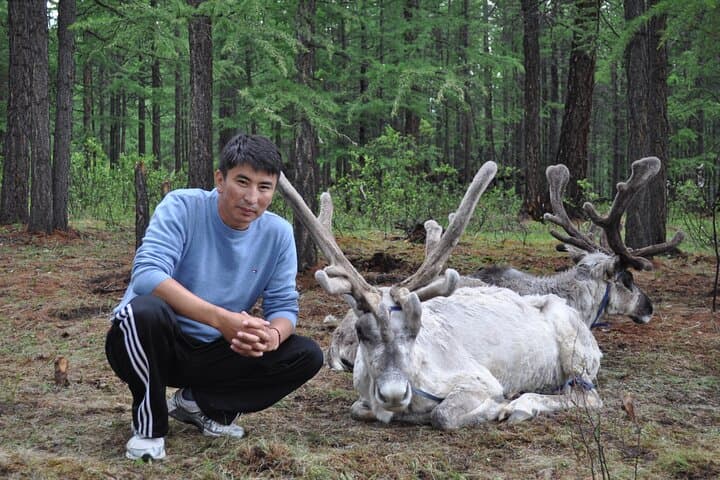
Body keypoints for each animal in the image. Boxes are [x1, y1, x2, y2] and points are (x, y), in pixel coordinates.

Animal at [278, 163, 604, 429]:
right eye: (361, 333)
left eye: (416, 329)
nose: (394, 394)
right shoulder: (364, 397)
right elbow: (359, 408)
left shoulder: (479, 380)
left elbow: (442, 414)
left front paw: (497, 407)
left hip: (578, 355)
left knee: (587, 396)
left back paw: (522, 405)